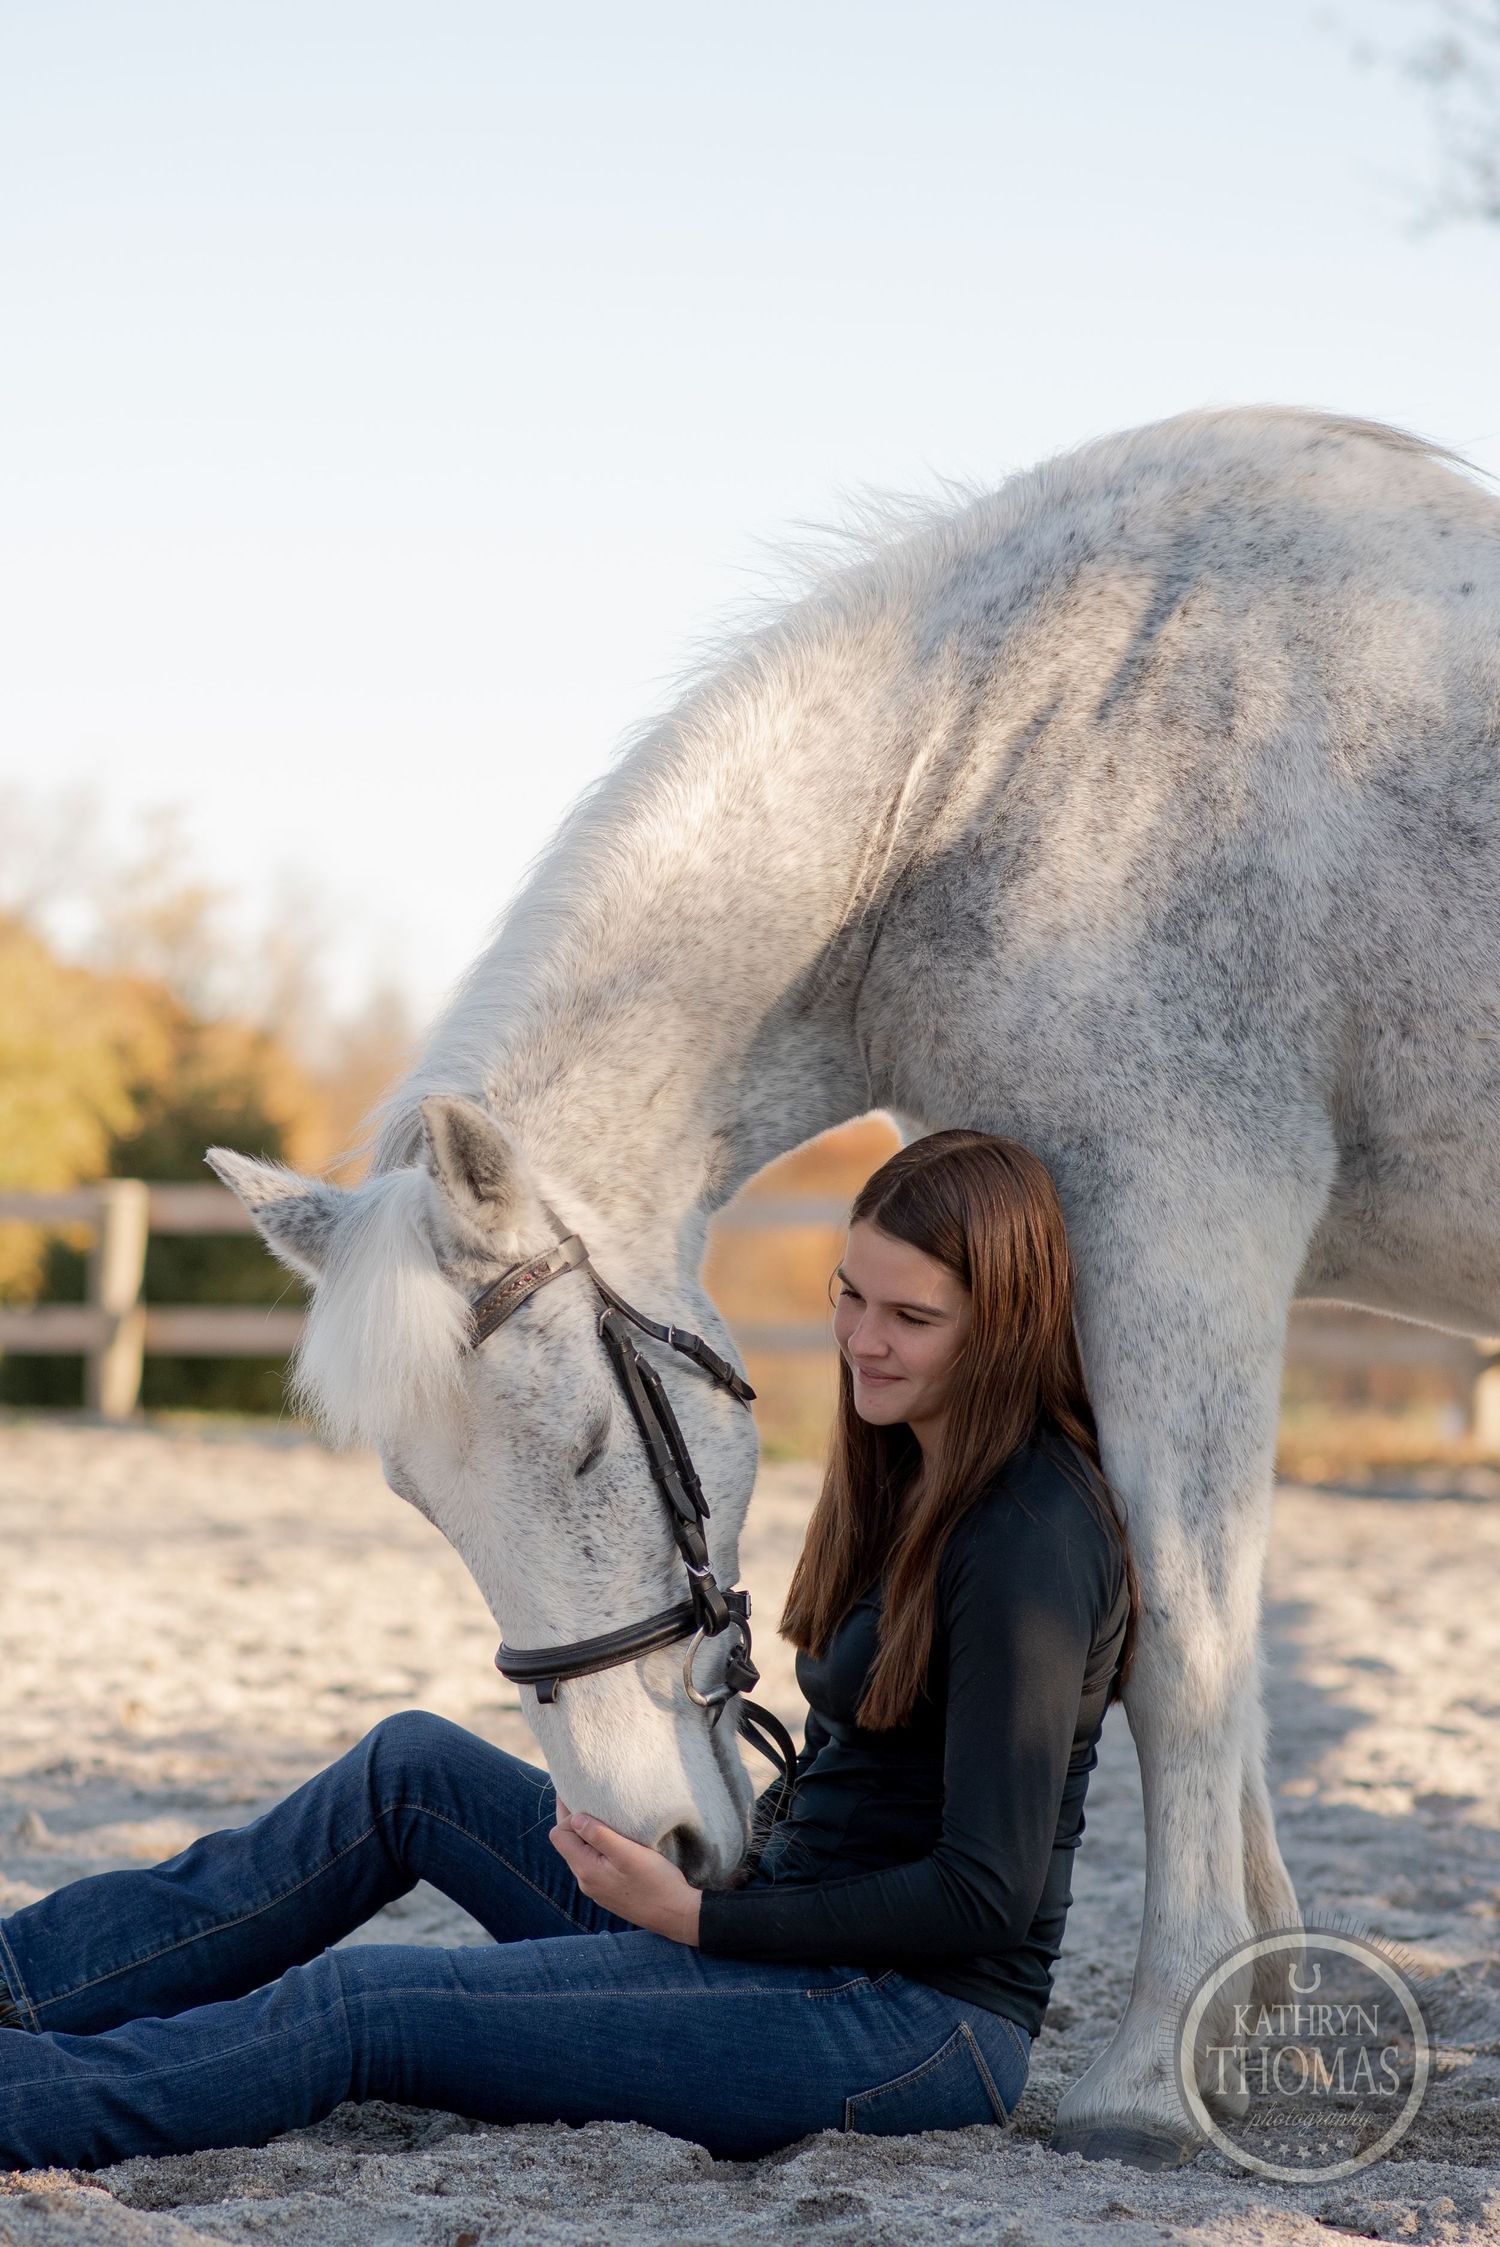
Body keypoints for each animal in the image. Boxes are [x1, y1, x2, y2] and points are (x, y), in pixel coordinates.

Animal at [209, 404, 1500, 2169]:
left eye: (590, 1450)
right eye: (421, 1497)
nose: (658, 1844)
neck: (1024, 751)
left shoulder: (1181, 1222)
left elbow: (1186, 1657)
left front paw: (1154, 2064)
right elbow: (1223, 1662)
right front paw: (1263, 2031)